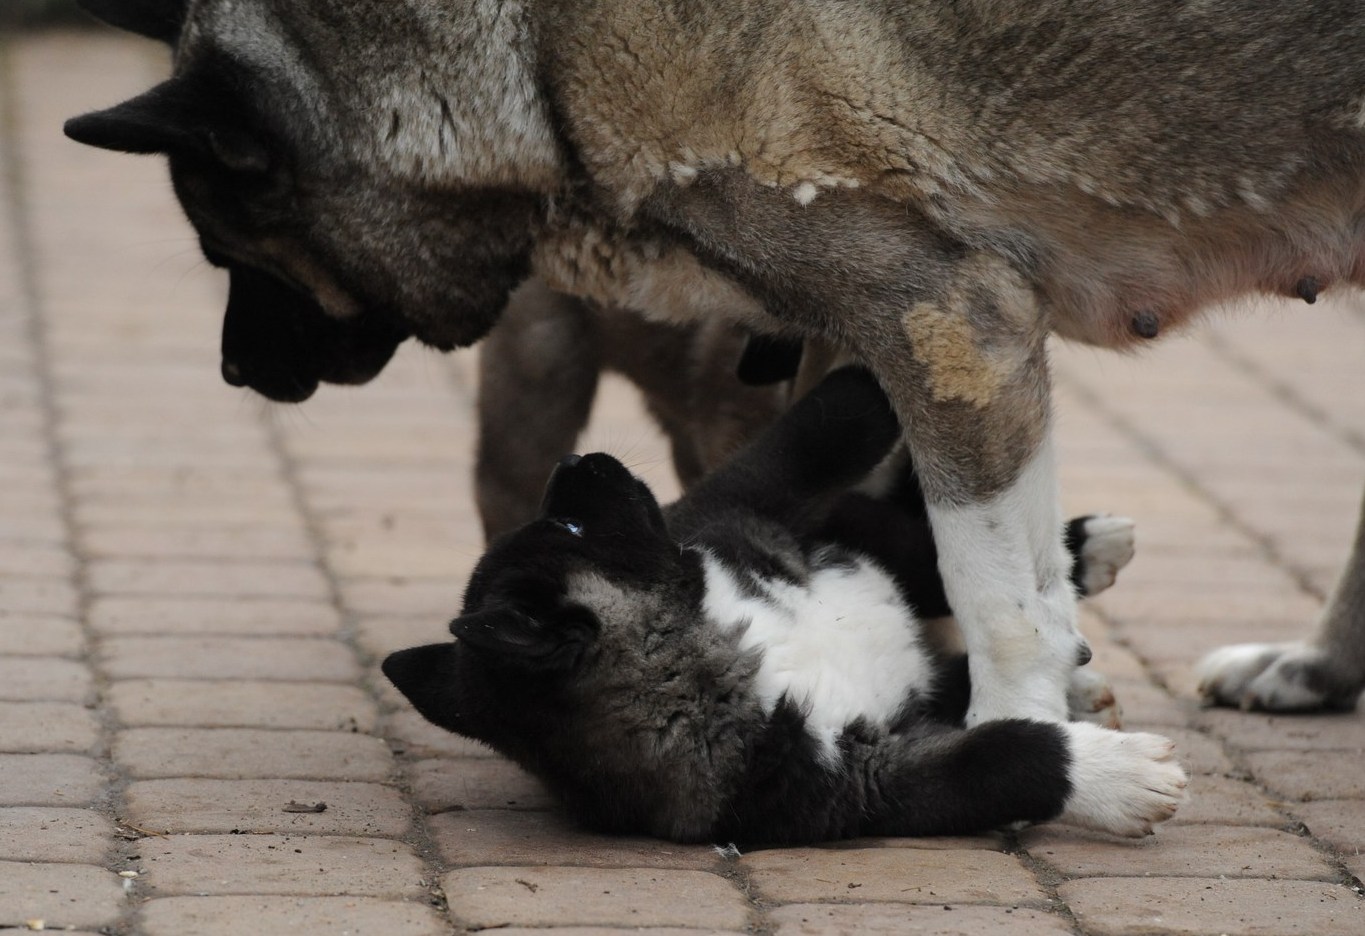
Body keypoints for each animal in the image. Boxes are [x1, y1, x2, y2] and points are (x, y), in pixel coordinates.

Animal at [64, 0, 1365, 731]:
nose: (235, 376)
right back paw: (1313, 671)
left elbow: (999, 601)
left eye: (226, 245)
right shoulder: (951, 348)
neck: (535, 49)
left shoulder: (949, 324)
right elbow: (1014, 575)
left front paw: (1020, 739)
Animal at [379, 371, 1179, 845]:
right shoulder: (853, 784)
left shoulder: (739, 513)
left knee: (922, 548)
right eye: (571, 529)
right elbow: (1000, 757)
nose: (580, 460)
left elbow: (807, 437)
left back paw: (1088, 546)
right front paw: (1117, 777)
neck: (726, 638)